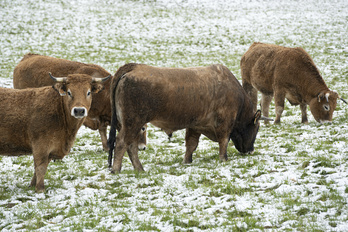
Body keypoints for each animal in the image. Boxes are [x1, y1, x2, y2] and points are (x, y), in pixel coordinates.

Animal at [107, 62, 270, 173]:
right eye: (256, 129)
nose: (251, 150)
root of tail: (134, 67)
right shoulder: (225, 124)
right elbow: (224, 141)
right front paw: (224, 158)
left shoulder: (195, 126)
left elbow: (191, 144)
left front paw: (187, 161)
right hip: (133, 123)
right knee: (122, 143)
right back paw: (117, 169)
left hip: (131, 124)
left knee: (131, 146)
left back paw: (139, 168)